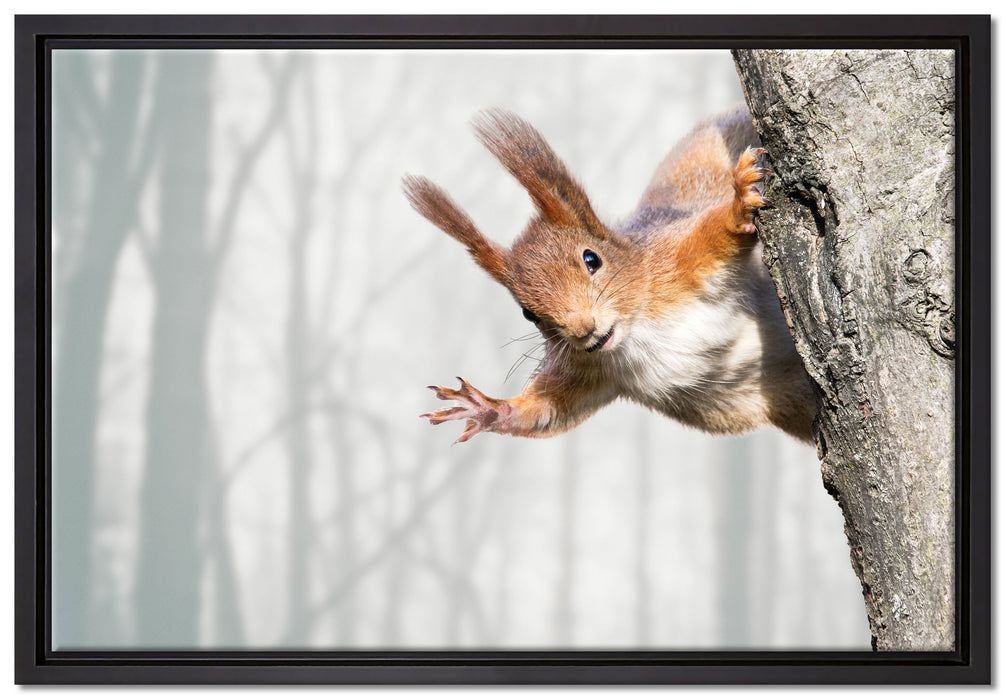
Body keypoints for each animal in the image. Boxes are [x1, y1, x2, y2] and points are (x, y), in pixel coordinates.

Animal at [403, 106, 817, 445]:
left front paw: (739, 203)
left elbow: (715, 234)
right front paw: (488, 408)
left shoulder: (674, 262)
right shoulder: (588, 370)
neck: (636, 331)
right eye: (527, 313)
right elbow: (548, 411)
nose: (584, 330)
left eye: (592, 259)